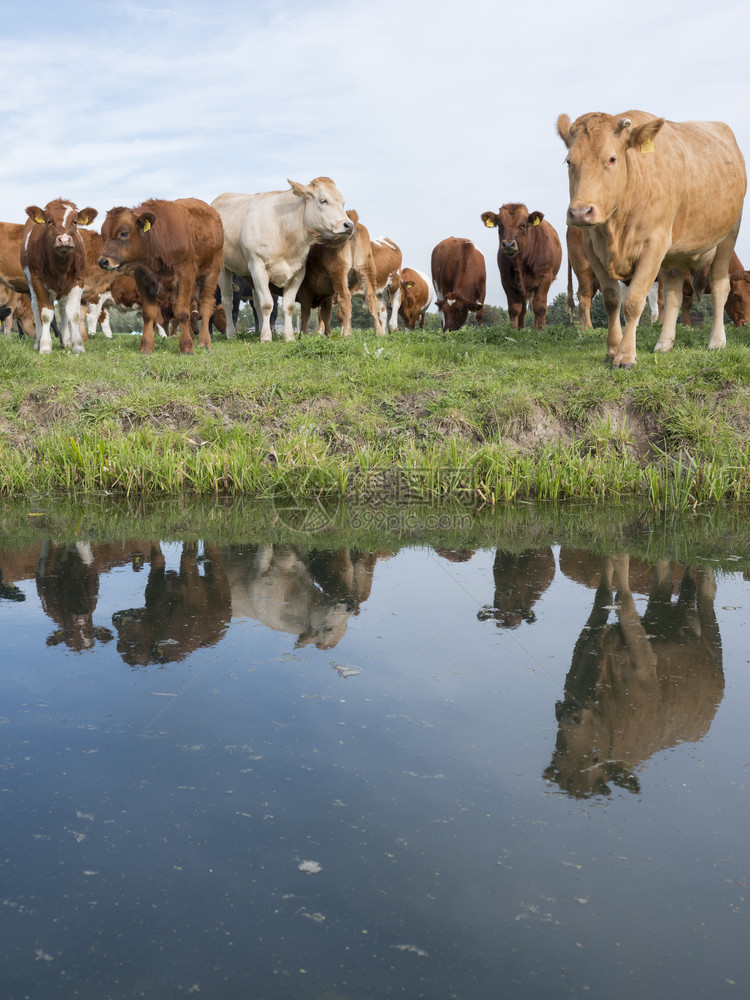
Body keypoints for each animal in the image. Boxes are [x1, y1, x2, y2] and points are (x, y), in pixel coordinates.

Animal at [19, 197, 97, 354]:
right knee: (36, 308)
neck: (60, 264)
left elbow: (73, 314)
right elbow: (45, 314)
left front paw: (77, 345)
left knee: (62, 310)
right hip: (31, 283)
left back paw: (65, 341)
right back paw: (37, 341)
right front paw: (45, 346)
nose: (64, 240)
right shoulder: (37, 280)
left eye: (75, 222)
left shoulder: (78, 280)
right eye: (49, 221)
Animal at [96, 197, 223, 354]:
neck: (157, 241)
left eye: (124, 233)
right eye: (103, 236)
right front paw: (146, 346)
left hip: (212, 272)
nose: (103, 261)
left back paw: (204, 341)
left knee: (205, 306)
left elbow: (182, 312)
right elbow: (149, 313)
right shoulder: (143, 278)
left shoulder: (184, 276)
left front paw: (186, 346)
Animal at [212, 175, 352, 340]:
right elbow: (267, 304)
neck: (284, 230)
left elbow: (288, 305)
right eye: (323, 200)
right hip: (223, 268)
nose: (349, 225)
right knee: (227, 300)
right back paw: (231, 333)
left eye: (343, 203)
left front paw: (289, 336)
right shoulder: (257, 266)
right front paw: (266, 337)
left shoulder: (299, 271)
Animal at [560, 110, 748, 368]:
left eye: (612, 159)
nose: (580, 212)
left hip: (727, 236)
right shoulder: (593, 249)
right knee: (673, 294)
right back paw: (664, 344)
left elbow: (633, 301)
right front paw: (612, 349)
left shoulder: (653, 246)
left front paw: (625, 355)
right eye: (569, 161)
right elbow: (612, 299)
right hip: (672, 256)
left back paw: (717, 341)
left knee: (720, 286)